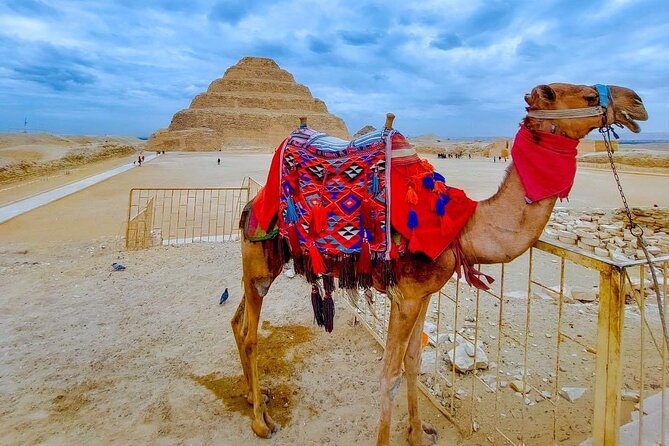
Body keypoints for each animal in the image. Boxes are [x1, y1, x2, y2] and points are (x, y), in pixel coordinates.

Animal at [231, 83, 648, 445]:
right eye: (588, 95)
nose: (637, 102)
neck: (460, 226)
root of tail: (252, 204)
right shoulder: (406, 296)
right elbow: (389, 374)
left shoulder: (425, 293)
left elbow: (415, 361)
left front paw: (418, 433)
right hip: (261, 261)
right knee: (250, 332)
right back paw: (261, 422)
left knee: (237, 321)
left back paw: (254, 397)